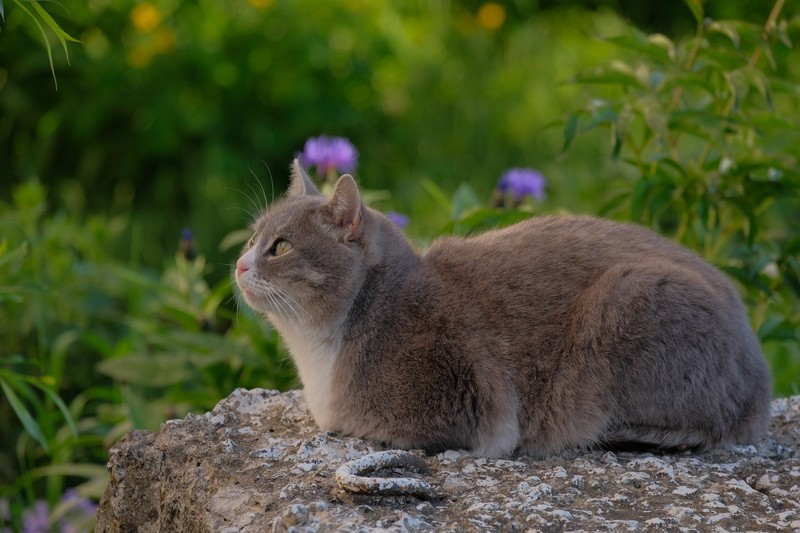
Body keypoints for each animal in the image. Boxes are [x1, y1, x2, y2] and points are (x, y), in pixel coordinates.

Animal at [234, 159, 772, 458]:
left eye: (281, 247)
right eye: (253, 237)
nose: (239, 264)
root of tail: (759, 368)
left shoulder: (458, 394)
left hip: (626, 298)